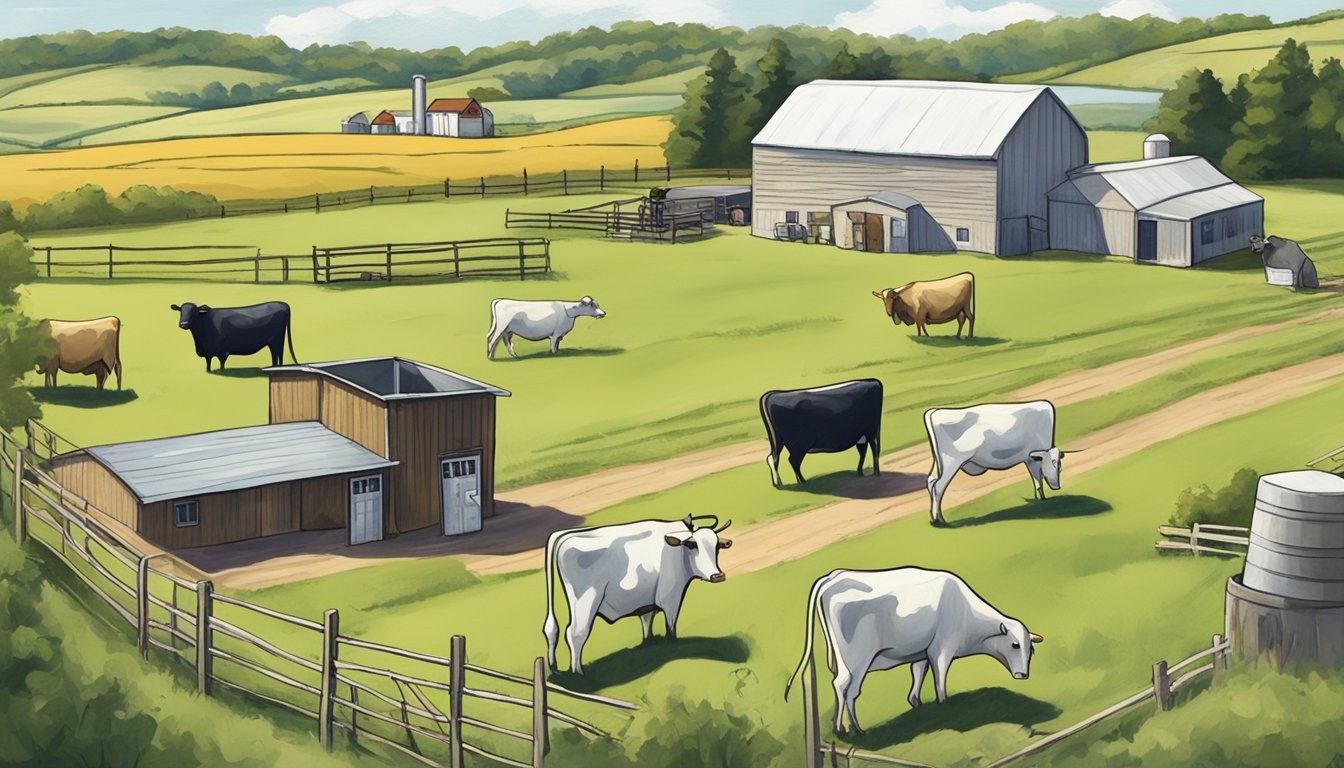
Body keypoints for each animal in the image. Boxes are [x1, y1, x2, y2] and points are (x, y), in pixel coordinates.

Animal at [542, 516, 736, 672]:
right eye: (692, 545)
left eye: (717, 547)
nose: (717, 575)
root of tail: (564, 536)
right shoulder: (671, 598)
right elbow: (671, 627)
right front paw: (671, 645)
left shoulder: (647, 600)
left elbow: (646, 621)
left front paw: (648, 643)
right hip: (585, 601)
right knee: (575, 633)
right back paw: (578, 672)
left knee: (552, 629)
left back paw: (554, 667)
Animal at [784, 567, 1042, 737]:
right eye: (1014, 645)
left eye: (1031, 650)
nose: (1023, 675)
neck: (966, 612)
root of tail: (833, 577)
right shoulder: (941, 650)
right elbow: (940, 680)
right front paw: (944, 705)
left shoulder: (921, 653)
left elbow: (917, 676)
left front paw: (916, 704)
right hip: (857, 661)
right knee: (846, 688)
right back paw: (851, 729)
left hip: (842, 660)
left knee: (841, 687)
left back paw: (845, 726)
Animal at [919, 400, 1064, 527]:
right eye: (1053, 463)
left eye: (1060, 466)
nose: (1057, 486)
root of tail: (934, 411)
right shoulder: (1032, 458)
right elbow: (1037, 478)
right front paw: (1042, 498)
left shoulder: (1029, 459)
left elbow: (1036, 479)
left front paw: (1039, 498)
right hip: (952, 462)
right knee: (938, 487)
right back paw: (939, 520)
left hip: (939, 464)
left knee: (931, 481)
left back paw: (935, 518)